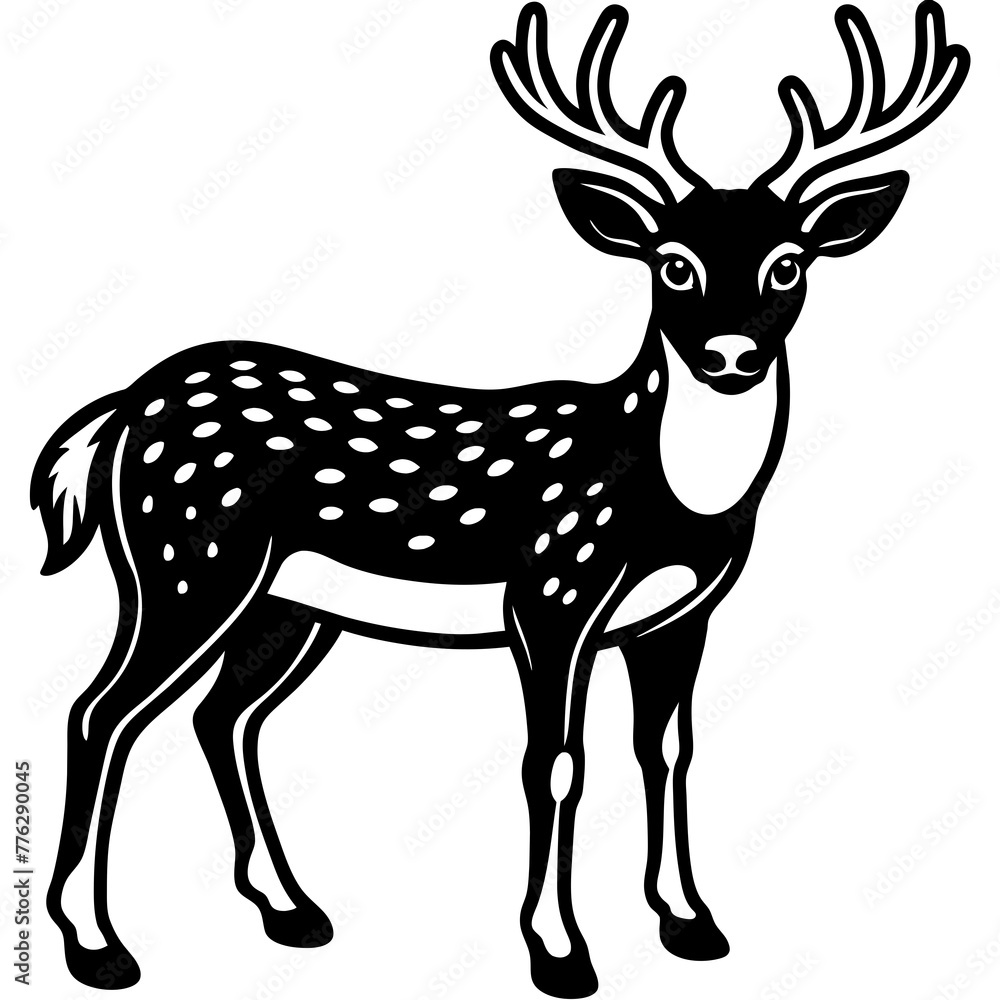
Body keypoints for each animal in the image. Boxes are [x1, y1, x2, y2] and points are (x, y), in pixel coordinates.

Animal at [34, 3, 968, 996]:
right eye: (672, 264)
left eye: (789, 263)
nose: (730, 355)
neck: (674, 499)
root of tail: (121, 410)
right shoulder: (553, 592)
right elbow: (555, 763)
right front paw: (559, 951)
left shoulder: (682, 613)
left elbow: (669, 750)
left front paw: (690, 923)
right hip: (186, 561)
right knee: (100, 712)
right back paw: (97, 944)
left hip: (288, 605)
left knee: (221, 716)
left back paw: (291, 911)